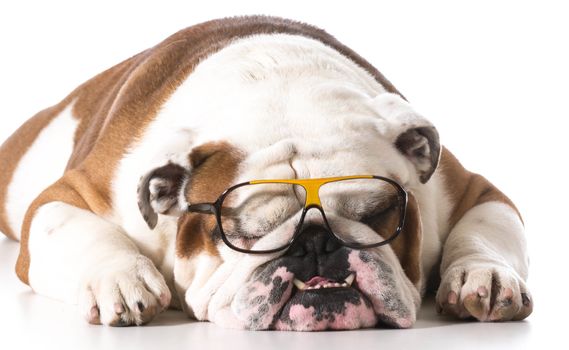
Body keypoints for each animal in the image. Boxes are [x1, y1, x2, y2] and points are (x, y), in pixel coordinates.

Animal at [0, 15, 532, 330]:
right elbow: (76, 228)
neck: (285, 95)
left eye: (377, 214)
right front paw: (123, 279)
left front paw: (482, 276)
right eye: (242, 232)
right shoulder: (71, 193)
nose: (316, 242)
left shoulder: (469, 190)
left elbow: (485, 229)